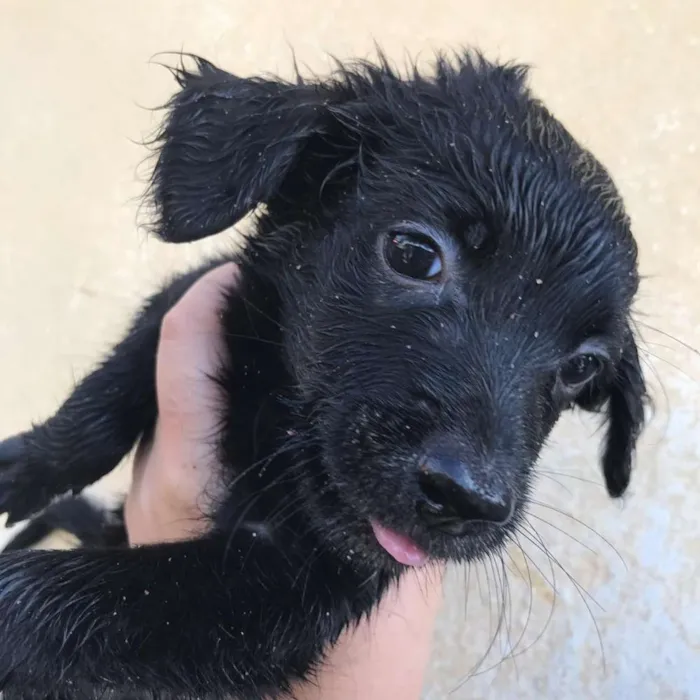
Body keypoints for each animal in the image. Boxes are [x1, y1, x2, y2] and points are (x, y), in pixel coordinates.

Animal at [0, 52, 644, 696]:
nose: (468, 500)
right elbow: (110, 387)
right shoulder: (200, 292)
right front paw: (24, 467)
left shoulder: (286, 592)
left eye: (583, 366)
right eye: (414, 254)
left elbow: (69, 599)